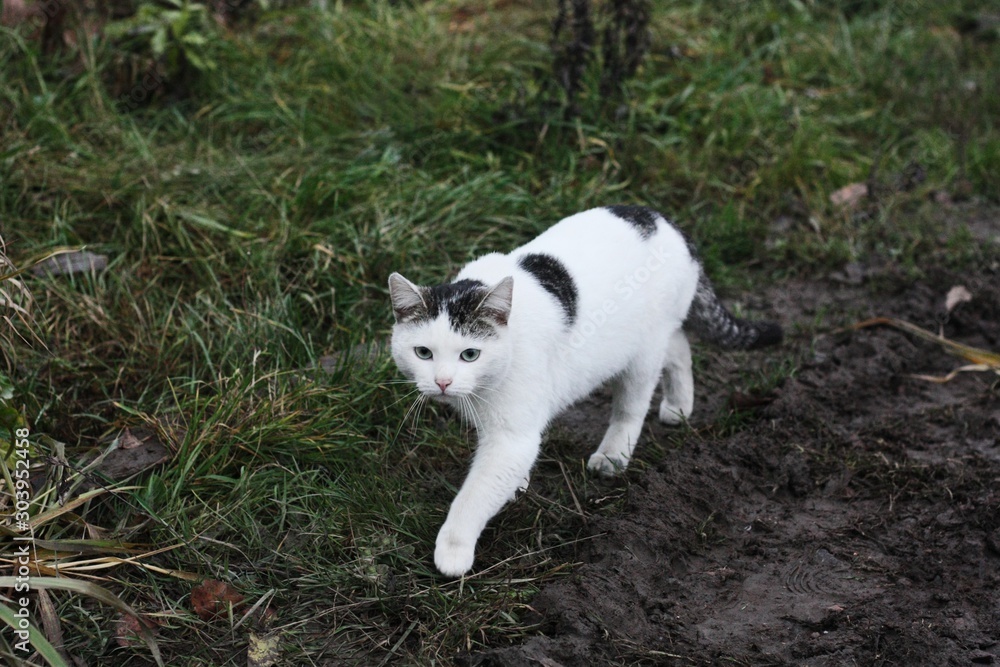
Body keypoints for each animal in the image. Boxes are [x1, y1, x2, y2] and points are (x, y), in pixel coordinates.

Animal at [386, 206, 776, 576]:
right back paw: (679, 405)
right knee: (680, 345)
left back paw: (614, 455)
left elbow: (475, 494)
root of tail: (666, 222)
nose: (443, 382)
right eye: (423, 353)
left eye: (470, 354)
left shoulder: (513, 437)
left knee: (634, 403)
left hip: (642, 353)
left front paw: (453, 550)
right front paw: (516, 486)